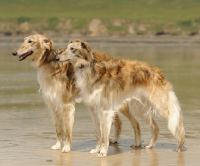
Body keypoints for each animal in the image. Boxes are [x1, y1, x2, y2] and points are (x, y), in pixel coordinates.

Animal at [11, 34, 142, 154]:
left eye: (30, 41)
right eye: (24, 40)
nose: (14, 52)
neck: (49, 62)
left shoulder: (66, 105)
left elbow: (67, 131)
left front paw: (66, 148)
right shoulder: (53, 104)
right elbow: (58, 129)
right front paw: (57, 146)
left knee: (135, 122)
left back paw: (137, 143)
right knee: (118, 122)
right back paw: (114, 140)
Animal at [57, 39, 185, 157]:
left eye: (72, 49)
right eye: (66, 47)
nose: (57, 58)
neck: (90, 71)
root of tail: (157, 72)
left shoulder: (105, 111)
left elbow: (104, 135)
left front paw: (103, 152)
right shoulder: (93, 110)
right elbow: (98, 133)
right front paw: (97, 149)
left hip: (159, 106)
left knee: (178, 124)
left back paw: (180, 146)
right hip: (140, 108)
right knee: (155, 127)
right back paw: (150, 145)